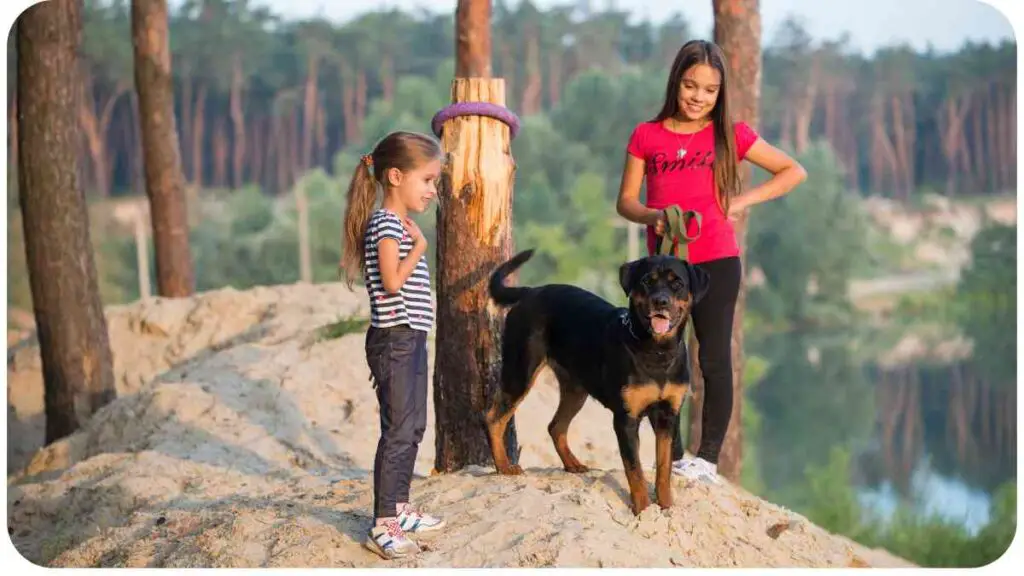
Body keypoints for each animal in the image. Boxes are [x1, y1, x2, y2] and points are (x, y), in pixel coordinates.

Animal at [483, 247, 708, 510]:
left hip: (575, 389)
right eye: (646, 281)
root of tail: (531, 291)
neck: (657, 351)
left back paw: (572, 464)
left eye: (677, 283)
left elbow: (664, 467)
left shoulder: (667, 416)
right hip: (521, 371)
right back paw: (504, 466)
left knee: (555, 426)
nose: (660, 301)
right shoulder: (625, 419)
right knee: (493, 418)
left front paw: (666, 506)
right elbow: (635, 470)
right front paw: (642, 509)